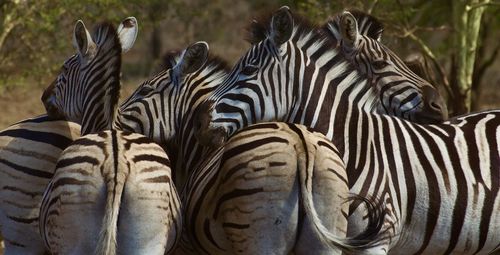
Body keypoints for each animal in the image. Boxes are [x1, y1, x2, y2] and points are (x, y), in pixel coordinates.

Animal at [39, 19, 183, 253]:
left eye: (64, 68)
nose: (44, 97)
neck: (109, 124)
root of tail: (117, 166)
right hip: (147, 237)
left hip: (73, 236)